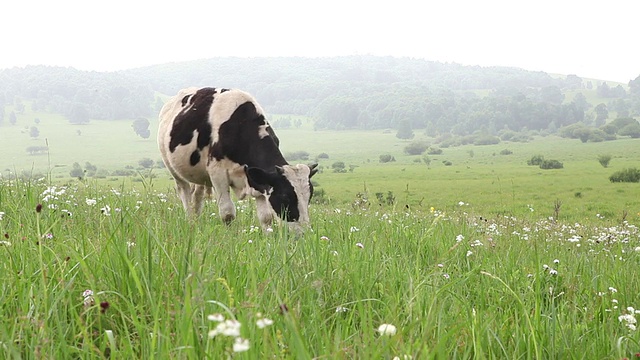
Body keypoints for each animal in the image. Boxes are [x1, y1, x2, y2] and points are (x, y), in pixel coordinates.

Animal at [158, 87, 318, 231]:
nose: (302, 233)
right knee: (185, 194)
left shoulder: (257, 179)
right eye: (285, 197)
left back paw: (196, 222)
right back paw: (191, 221)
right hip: (173, 169)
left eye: (309, 197)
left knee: (197, 196)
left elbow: (266, 217)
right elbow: (227, 213)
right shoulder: (217, 173)